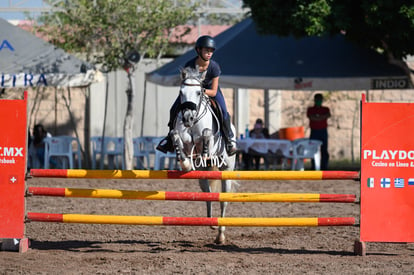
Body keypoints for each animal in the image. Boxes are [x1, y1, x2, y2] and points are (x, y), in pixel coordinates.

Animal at [170, 67, 238, 246]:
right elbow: (175, 136)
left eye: (199, 92)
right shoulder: (184, 140)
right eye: (181, 92)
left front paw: (205, 153)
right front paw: (185, 163)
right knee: (208, 195)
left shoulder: (211, 140)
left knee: (223, 201)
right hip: (201, 176)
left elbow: (206, 134)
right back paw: (211, 222)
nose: (187, 118)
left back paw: (220, 235)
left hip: (226, 170)